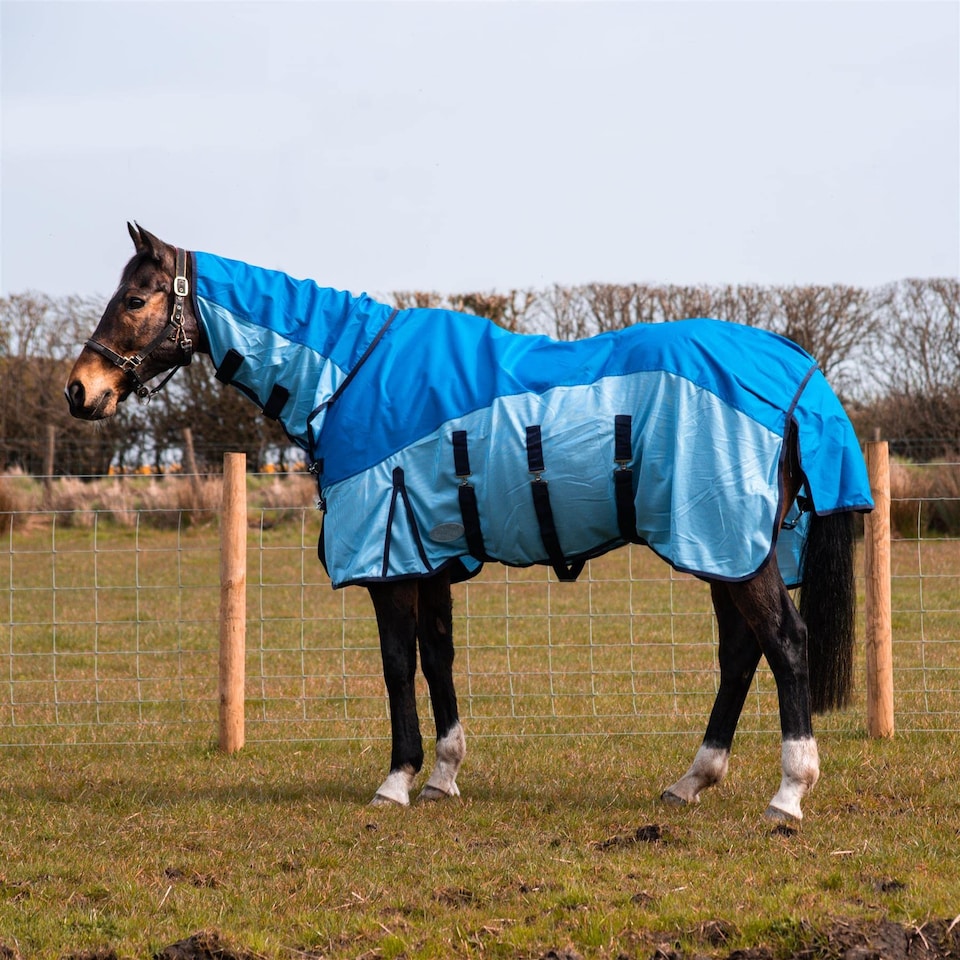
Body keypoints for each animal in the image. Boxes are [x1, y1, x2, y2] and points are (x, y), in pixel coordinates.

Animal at [65, 223, 873, 820]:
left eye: (135, 298)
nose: (80, 390)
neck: (350, 373)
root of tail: (793, 364)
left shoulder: (389, 560)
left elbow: (397, 665)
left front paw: (396, 781)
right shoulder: (426, 556)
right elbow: (437, 660)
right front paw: (443, 777)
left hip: (733, 543)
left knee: (785, 645)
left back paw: (790, 791)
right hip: (726, 547)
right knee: (741, 653)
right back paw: (692, 780)